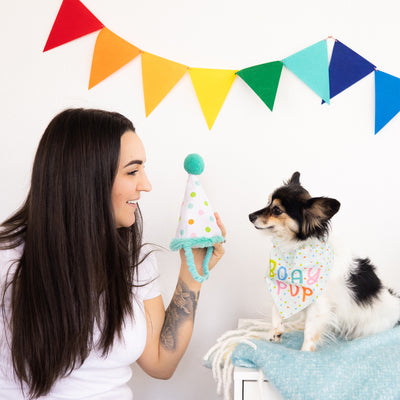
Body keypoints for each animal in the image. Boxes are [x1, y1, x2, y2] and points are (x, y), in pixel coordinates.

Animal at [248, 171, 398, 350]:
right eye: (268, 202)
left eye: (277, 210)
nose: (250, 216)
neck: (293, 251)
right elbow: (276, 310)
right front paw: (276, 331)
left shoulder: (318, 306)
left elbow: (310, 333)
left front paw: (304, 353)